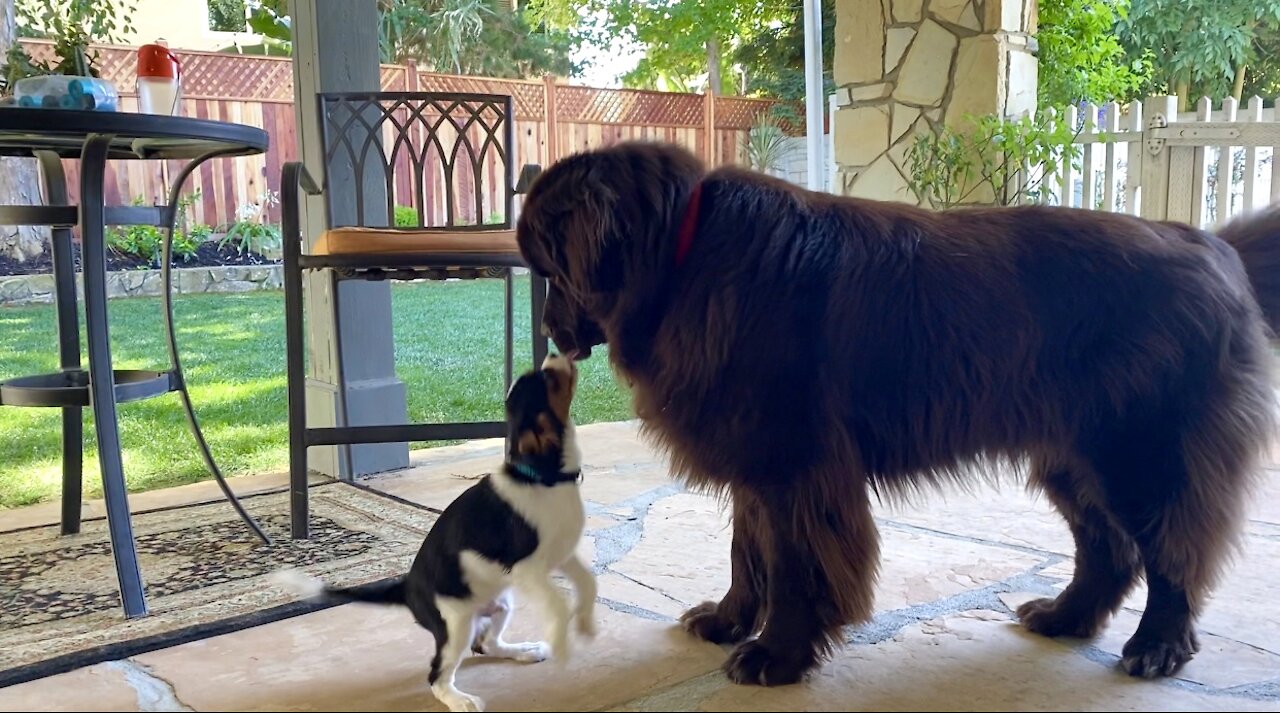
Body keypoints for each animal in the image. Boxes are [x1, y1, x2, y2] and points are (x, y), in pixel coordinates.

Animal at [275, 353, 593, 706]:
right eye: (547, 380)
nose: (555, 354)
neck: (543, 477)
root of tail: (407, 588)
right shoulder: (527, 568)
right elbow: (558, 603)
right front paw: (564, 646)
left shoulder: (562, 553)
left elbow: (588, 582)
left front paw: (586, 623)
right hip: (456, 626)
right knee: (436, 677)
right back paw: (461, 700)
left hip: (499, 605)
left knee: (485, 644)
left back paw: (523, 651)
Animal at [512, 137, 1280, 686]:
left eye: (549, 267)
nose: (548, 327)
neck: (681, 255)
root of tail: (1217, 247)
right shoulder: (756, 456)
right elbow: (747, 551)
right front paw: (730, 620)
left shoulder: (794, 463)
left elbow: (791, 564)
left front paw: (775, 654)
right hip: (1072, 454)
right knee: (1110, 548)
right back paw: (1065, 616)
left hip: (1141, 450)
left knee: (1174, 548)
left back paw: (1157, 645)